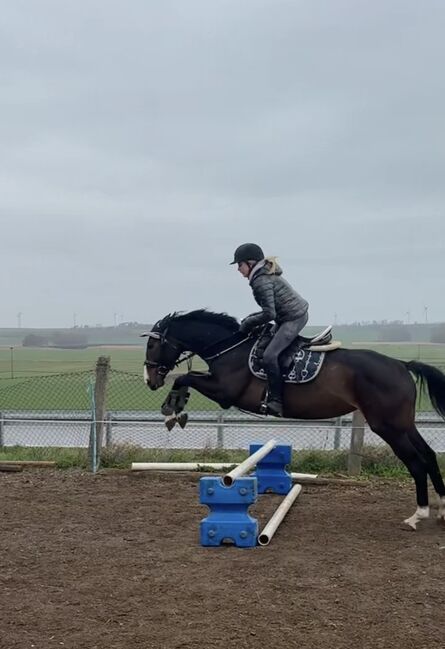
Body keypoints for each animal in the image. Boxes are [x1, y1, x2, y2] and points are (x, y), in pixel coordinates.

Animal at [142, 309, 445, 530]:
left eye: (153, 344)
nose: (150, 380)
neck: (230, 348)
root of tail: (401, 365)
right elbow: (186, 378)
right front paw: (175, 408)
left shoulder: (225, 392)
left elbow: (185, 377)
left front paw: (173, 408)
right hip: (403, 425)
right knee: (429, 456)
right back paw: (441, 508)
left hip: (388, 427)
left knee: (416, 463)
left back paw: (418, 514)